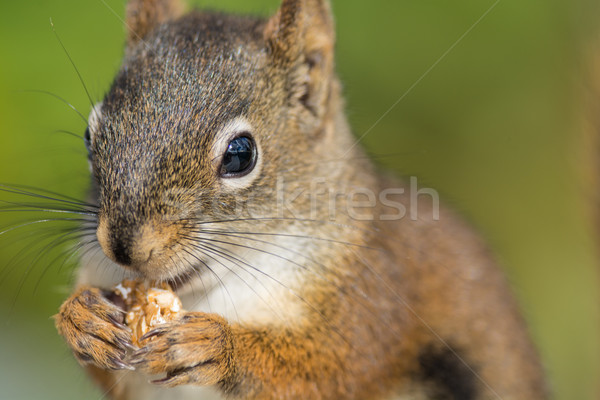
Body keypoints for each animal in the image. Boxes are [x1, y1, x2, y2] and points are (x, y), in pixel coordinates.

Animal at [54, 0, 548, 400]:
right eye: (89, 136)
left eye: (240, 155)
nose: (122, 246)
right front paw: (81, 319)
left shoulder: (371, 301)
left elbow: (322, 372)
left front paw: (220, 348)